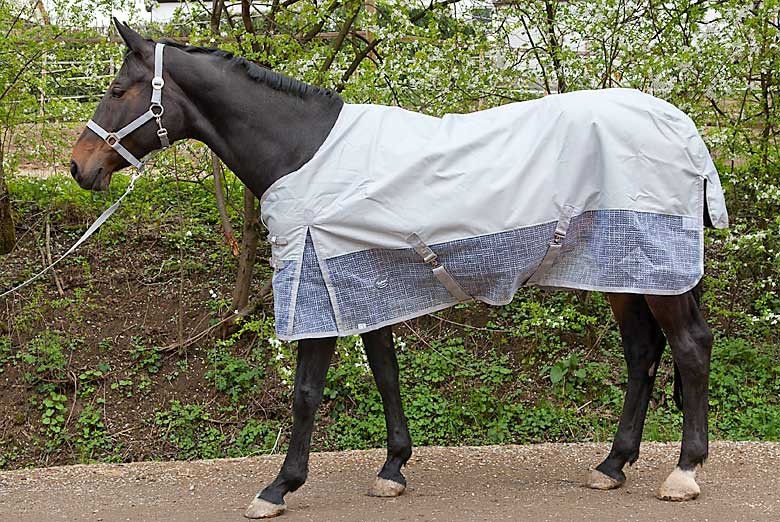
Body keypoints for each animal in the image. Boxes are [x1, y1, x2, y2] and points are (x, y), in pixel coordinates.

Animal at [71, 20, 724, 516]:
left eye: (121, 88)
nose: (80, 166)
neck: (302, 152)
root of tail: (684, 129)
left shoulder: (319, 289)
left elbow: (306, 392)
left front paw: (279, 486)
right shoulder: (360, 284)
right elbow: (386, 374)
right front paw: (392, 468)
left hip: (656, 273)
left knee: (690, 347)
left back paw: (684, 472)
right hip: (622, 272)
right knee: (642, 354)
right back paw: (612, 464)